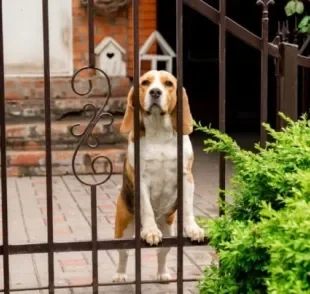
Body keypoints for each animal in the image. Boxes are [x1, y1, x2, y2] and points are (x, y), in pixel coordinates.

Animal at [112, 69, 205, 282]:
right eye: (145, 82)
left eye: (168, 84)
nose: (155, 92)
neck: (159, 134)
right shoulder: (141, 181)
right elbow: (146, 208)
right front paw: (151, 231)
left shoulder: (187, 178)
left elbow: (188, 207)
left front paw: (192, 228)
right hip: (122, 228)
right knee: (123, 253)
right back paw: (120, 274)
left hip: (169, 231)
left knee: (162, 253)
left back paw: (162, 273)